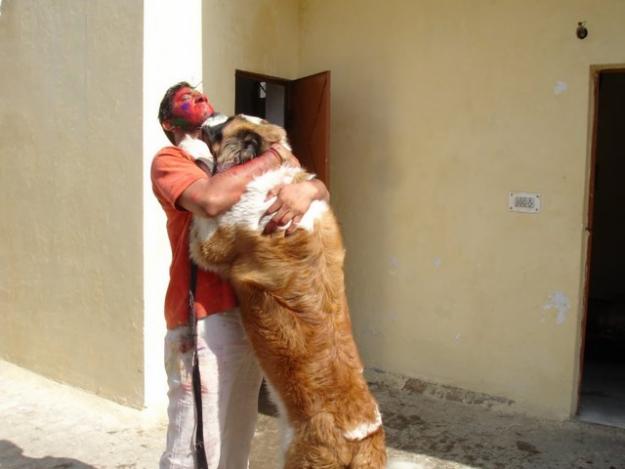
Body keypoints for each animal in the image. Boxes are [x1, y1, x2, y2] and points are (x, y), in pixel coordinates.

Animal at [185, 114, 386, 468]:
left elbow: (203, 227)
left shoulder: (210, 243)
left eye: (224, 125)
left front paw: (193, 152)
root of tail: (361, 434)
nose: (207, 117)